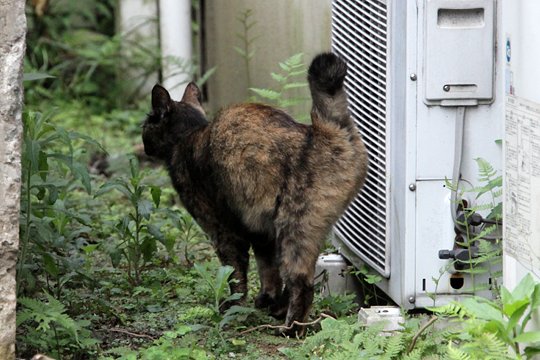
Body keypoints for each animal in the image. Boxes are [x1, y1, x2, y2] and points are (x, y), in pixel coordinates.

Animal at [143, 52, 370, 336]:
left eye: (146, 123)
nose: (143, 143)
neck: (189, 136)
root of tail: (323, 132)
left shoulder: (224, 230)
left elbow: (235, 274)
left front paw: (231, 308)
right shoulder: (260, 230)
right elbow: (268, 269)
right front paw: (269, 300)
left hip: (293, 227)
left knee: (302, 283)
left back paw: (290, 328)